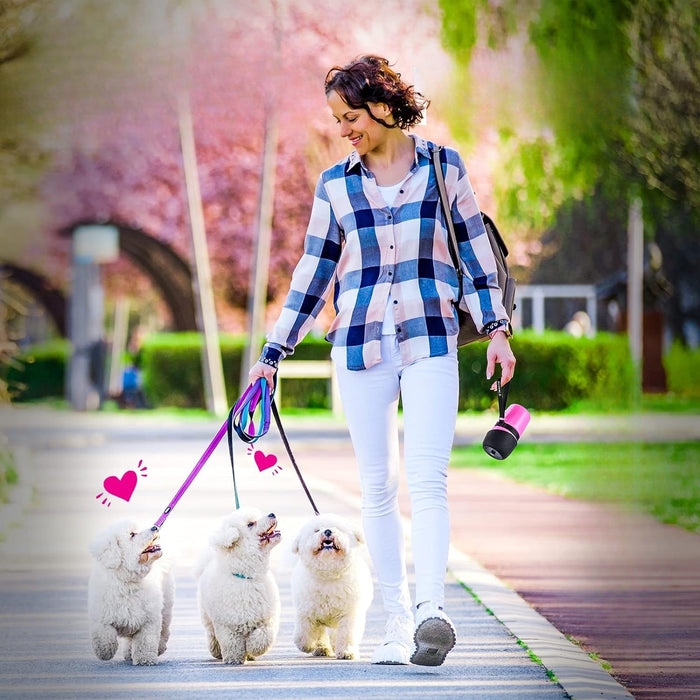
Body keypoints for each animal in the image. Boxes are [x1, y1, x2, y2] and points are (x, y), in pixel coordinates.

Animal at [87, 520, 175, 668]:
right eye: (132, 534)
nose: (155, 527)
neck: (128, 582)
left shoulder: (149, 619)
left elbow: (146, 641)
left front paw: (145, 659)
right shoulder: (102, 615)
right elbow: (104, 635)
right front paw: (105, 651)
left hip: (166, 605)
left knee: (164, 629)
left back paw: (159, 647)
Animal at [194, 506, 282, 664]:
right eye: (250, 524)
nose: (272, 514)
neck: (247, 577)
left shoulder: (267, 619)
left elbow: (264, 637)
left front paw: (254, 648)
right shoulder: (227, 625)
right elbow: (231, 643)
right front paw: (233, 659)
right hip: (207, 617)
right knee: (211, 634)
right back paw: (217, 651)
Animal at [290, 512, 374, 660]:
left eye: (337, 528)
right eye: (317, 530)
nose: (328, 531)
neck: (328, 574)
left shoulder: (349, 614)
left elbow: (347, 634)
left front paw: (346, 652)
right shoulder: (307, 611)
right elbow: (304, 633)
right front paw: (308, 645)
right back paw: (322, 649)